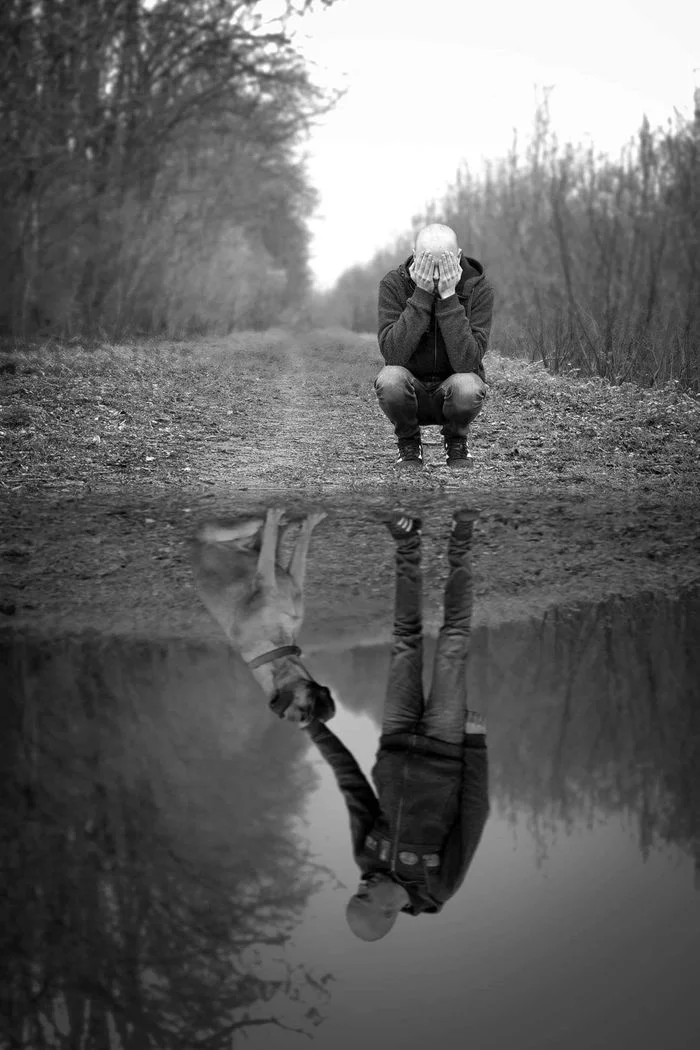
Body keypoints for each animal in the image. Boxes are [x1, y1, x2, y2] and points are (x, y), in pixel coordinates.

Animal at [189, 508, 335, 730]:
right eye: (305, 713)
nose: (329, 711)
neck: (271, 648)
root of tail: (196, 550)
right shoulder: (271, 581)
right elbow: (293, 549)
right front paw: (306, 523)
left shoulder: (291, 582)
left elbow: (292, 548)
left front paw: (302, 523)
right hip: (223, 535)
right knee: (262, 536)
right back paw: (273, 521)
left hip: (238, 540)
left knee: (263, 538)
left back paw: (279, 523)